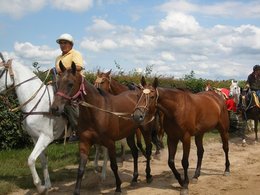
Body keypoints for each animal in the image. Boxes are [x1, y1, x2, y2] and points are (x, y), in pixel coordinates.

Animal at [0, 55, 66, 194]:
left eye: (0, 72)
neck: (36, 103)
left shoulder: (46, 137)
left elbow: (30, 160)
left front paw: (39, 186)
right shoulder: (36, 138)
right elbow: (42, 160)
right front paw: (47, 186)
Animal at [51, 62, 155, 195]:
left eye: (70, 84)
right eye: (58, 83)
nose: (54, 108)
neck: (96, 112)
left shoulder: (110, 143)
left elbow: (114, 166)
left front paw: (118, 187)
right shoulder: (84, 143)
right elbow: (81, 169)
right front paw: (76, 191)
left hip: (145, 130)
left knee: (148, 149)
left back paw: (148, 175)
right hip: (129, 134)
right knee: (135, 152)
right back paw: (135, 178)